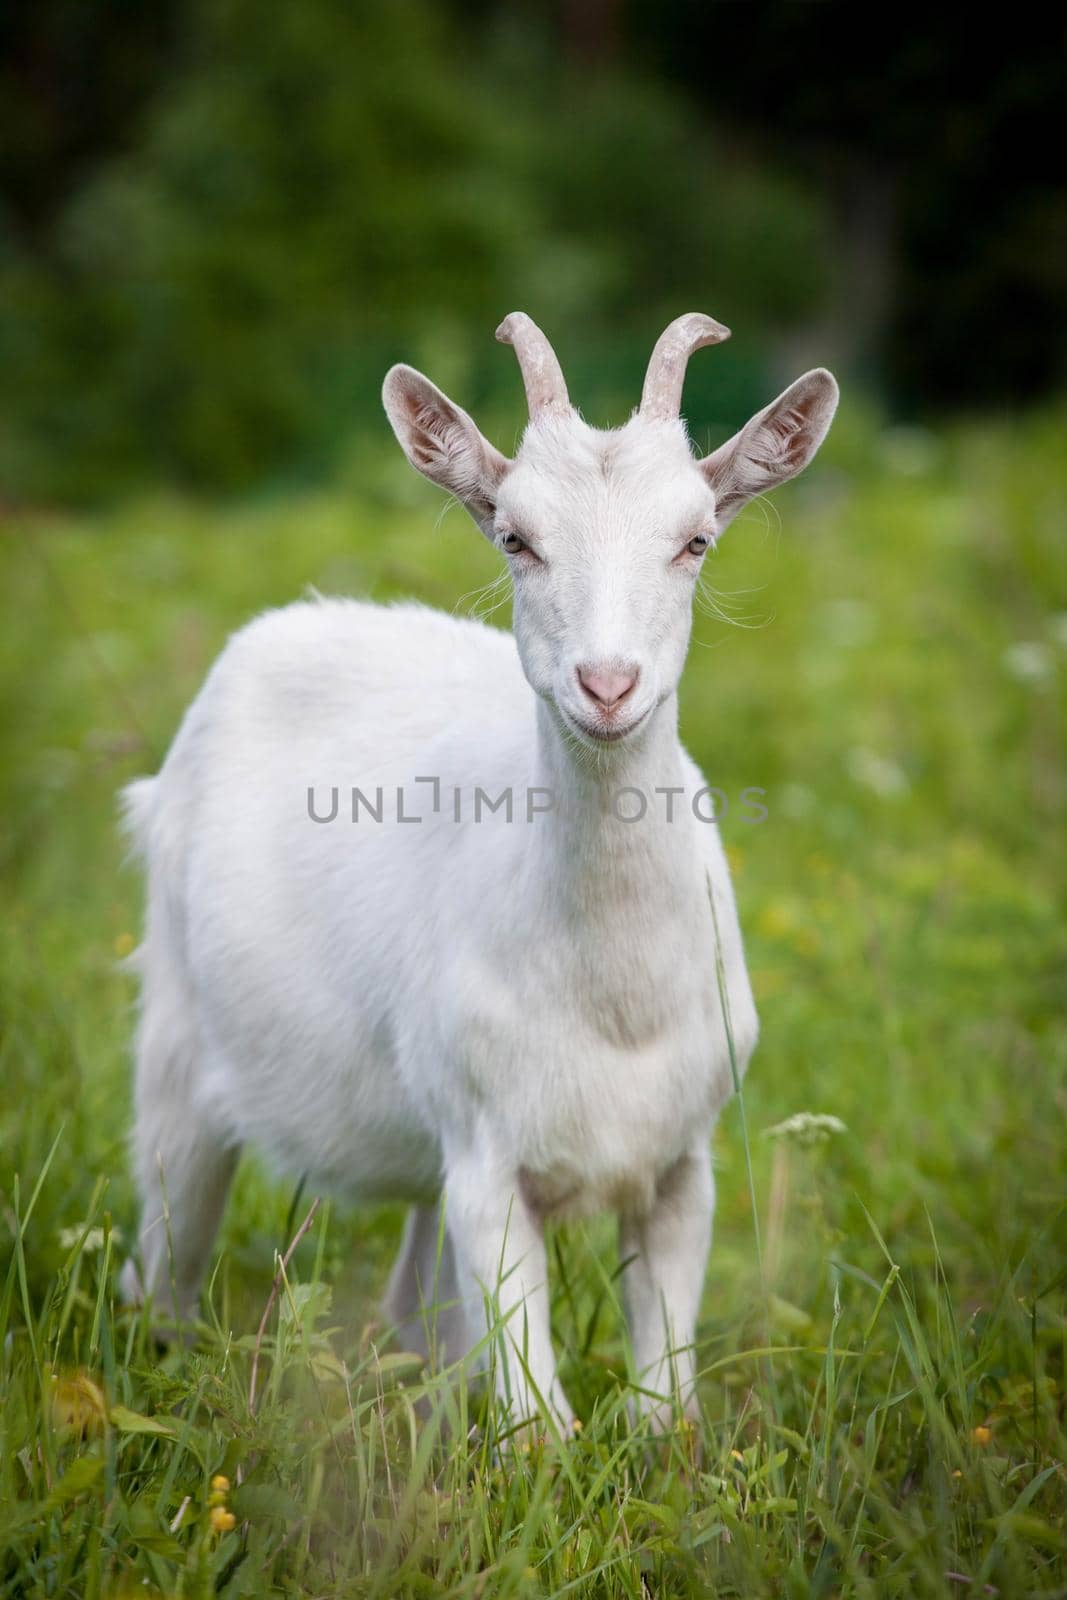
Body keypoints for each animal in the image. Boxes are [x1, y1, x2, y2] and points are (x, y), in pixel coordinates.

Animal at [125, 308, 838, 1427]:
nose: (606, 684)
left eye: (695, 540)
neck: (613, 1003)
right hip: (177, 1042)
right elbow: (539, 1421)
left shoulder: (682, 1158)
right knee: (164, 1260)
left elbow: (664, 1403)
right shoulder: (487, 1160)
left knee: (413, 1309)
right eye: (515, 537)